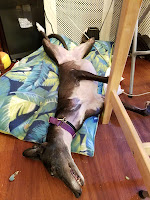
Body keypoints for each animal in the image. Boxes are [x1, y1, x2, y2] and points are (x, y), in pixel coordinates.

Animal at [22, 22, 150, 198]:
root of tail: (67, 56)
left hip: (66, 49)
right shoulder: (101, 102)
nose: (77, 193)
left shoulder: (78, 74)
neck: (67, 118)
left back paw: (40, 27)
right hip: (76, 50)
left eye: (54, 168)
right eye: (53, 174)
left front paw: (112, 78)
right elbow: (127, 106)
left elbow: (104, 80)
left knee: (48, 38)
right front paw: (145, 110)